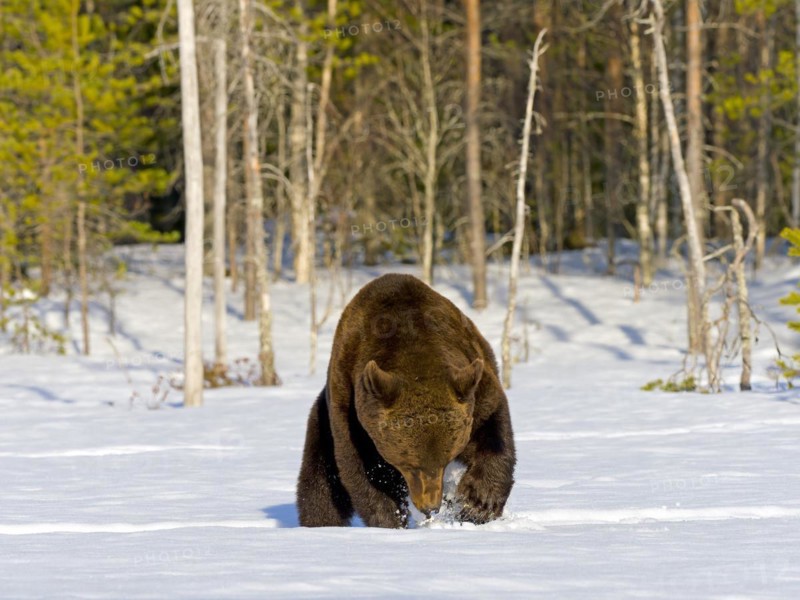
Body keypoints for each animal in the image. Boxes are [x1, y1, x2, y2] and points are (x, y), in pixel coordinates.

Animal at [296, 273, 515, 528]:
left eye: (446, 459)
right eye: (409, 463)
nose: (430, 506)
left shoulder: (475, 387)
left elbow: (493, 431)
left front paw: (479, 504)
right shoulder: (352, 413)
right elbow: (363, 473)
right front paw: (391, 519)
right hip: (323, 421)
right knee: (318, 483)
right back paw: (320, 522)